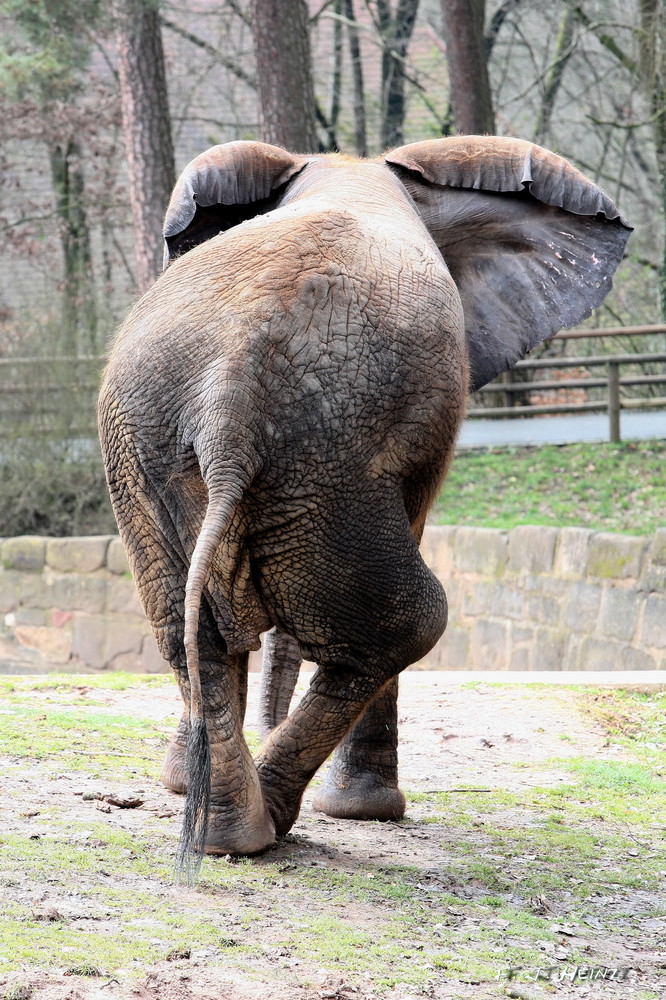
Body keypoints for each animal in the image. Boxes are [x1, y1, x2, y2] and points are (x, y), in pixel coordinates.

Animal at [98, 137, 628, 872]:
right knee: (411, 620)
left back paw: (224, 836)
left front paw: (180, 783)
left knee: (188, 628)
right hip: (325, 456)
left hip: (163, 447)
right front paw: (366, 814)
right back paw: (269, 822)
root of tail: (230, 392)